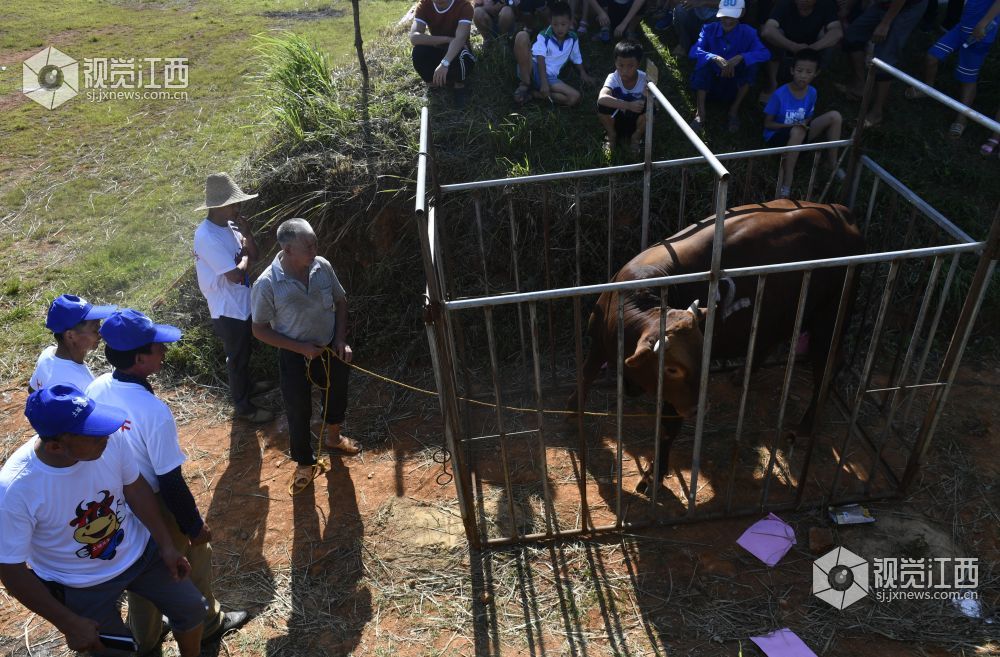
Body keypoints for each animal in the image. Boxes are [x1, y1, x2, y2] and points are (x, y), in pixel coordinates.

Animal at [572, 199, 868, 492]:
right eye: (671, 369)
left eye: (702, 359)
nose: (697, 409)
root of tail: (841, 211)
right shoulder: (597, 345)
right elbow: (584, 379)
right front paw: (572, 416)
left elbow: (667, 430)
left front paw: (653, 476)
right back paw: (742, 375)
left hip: (830, 318)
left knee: (828, 367)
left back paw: (804, 427)